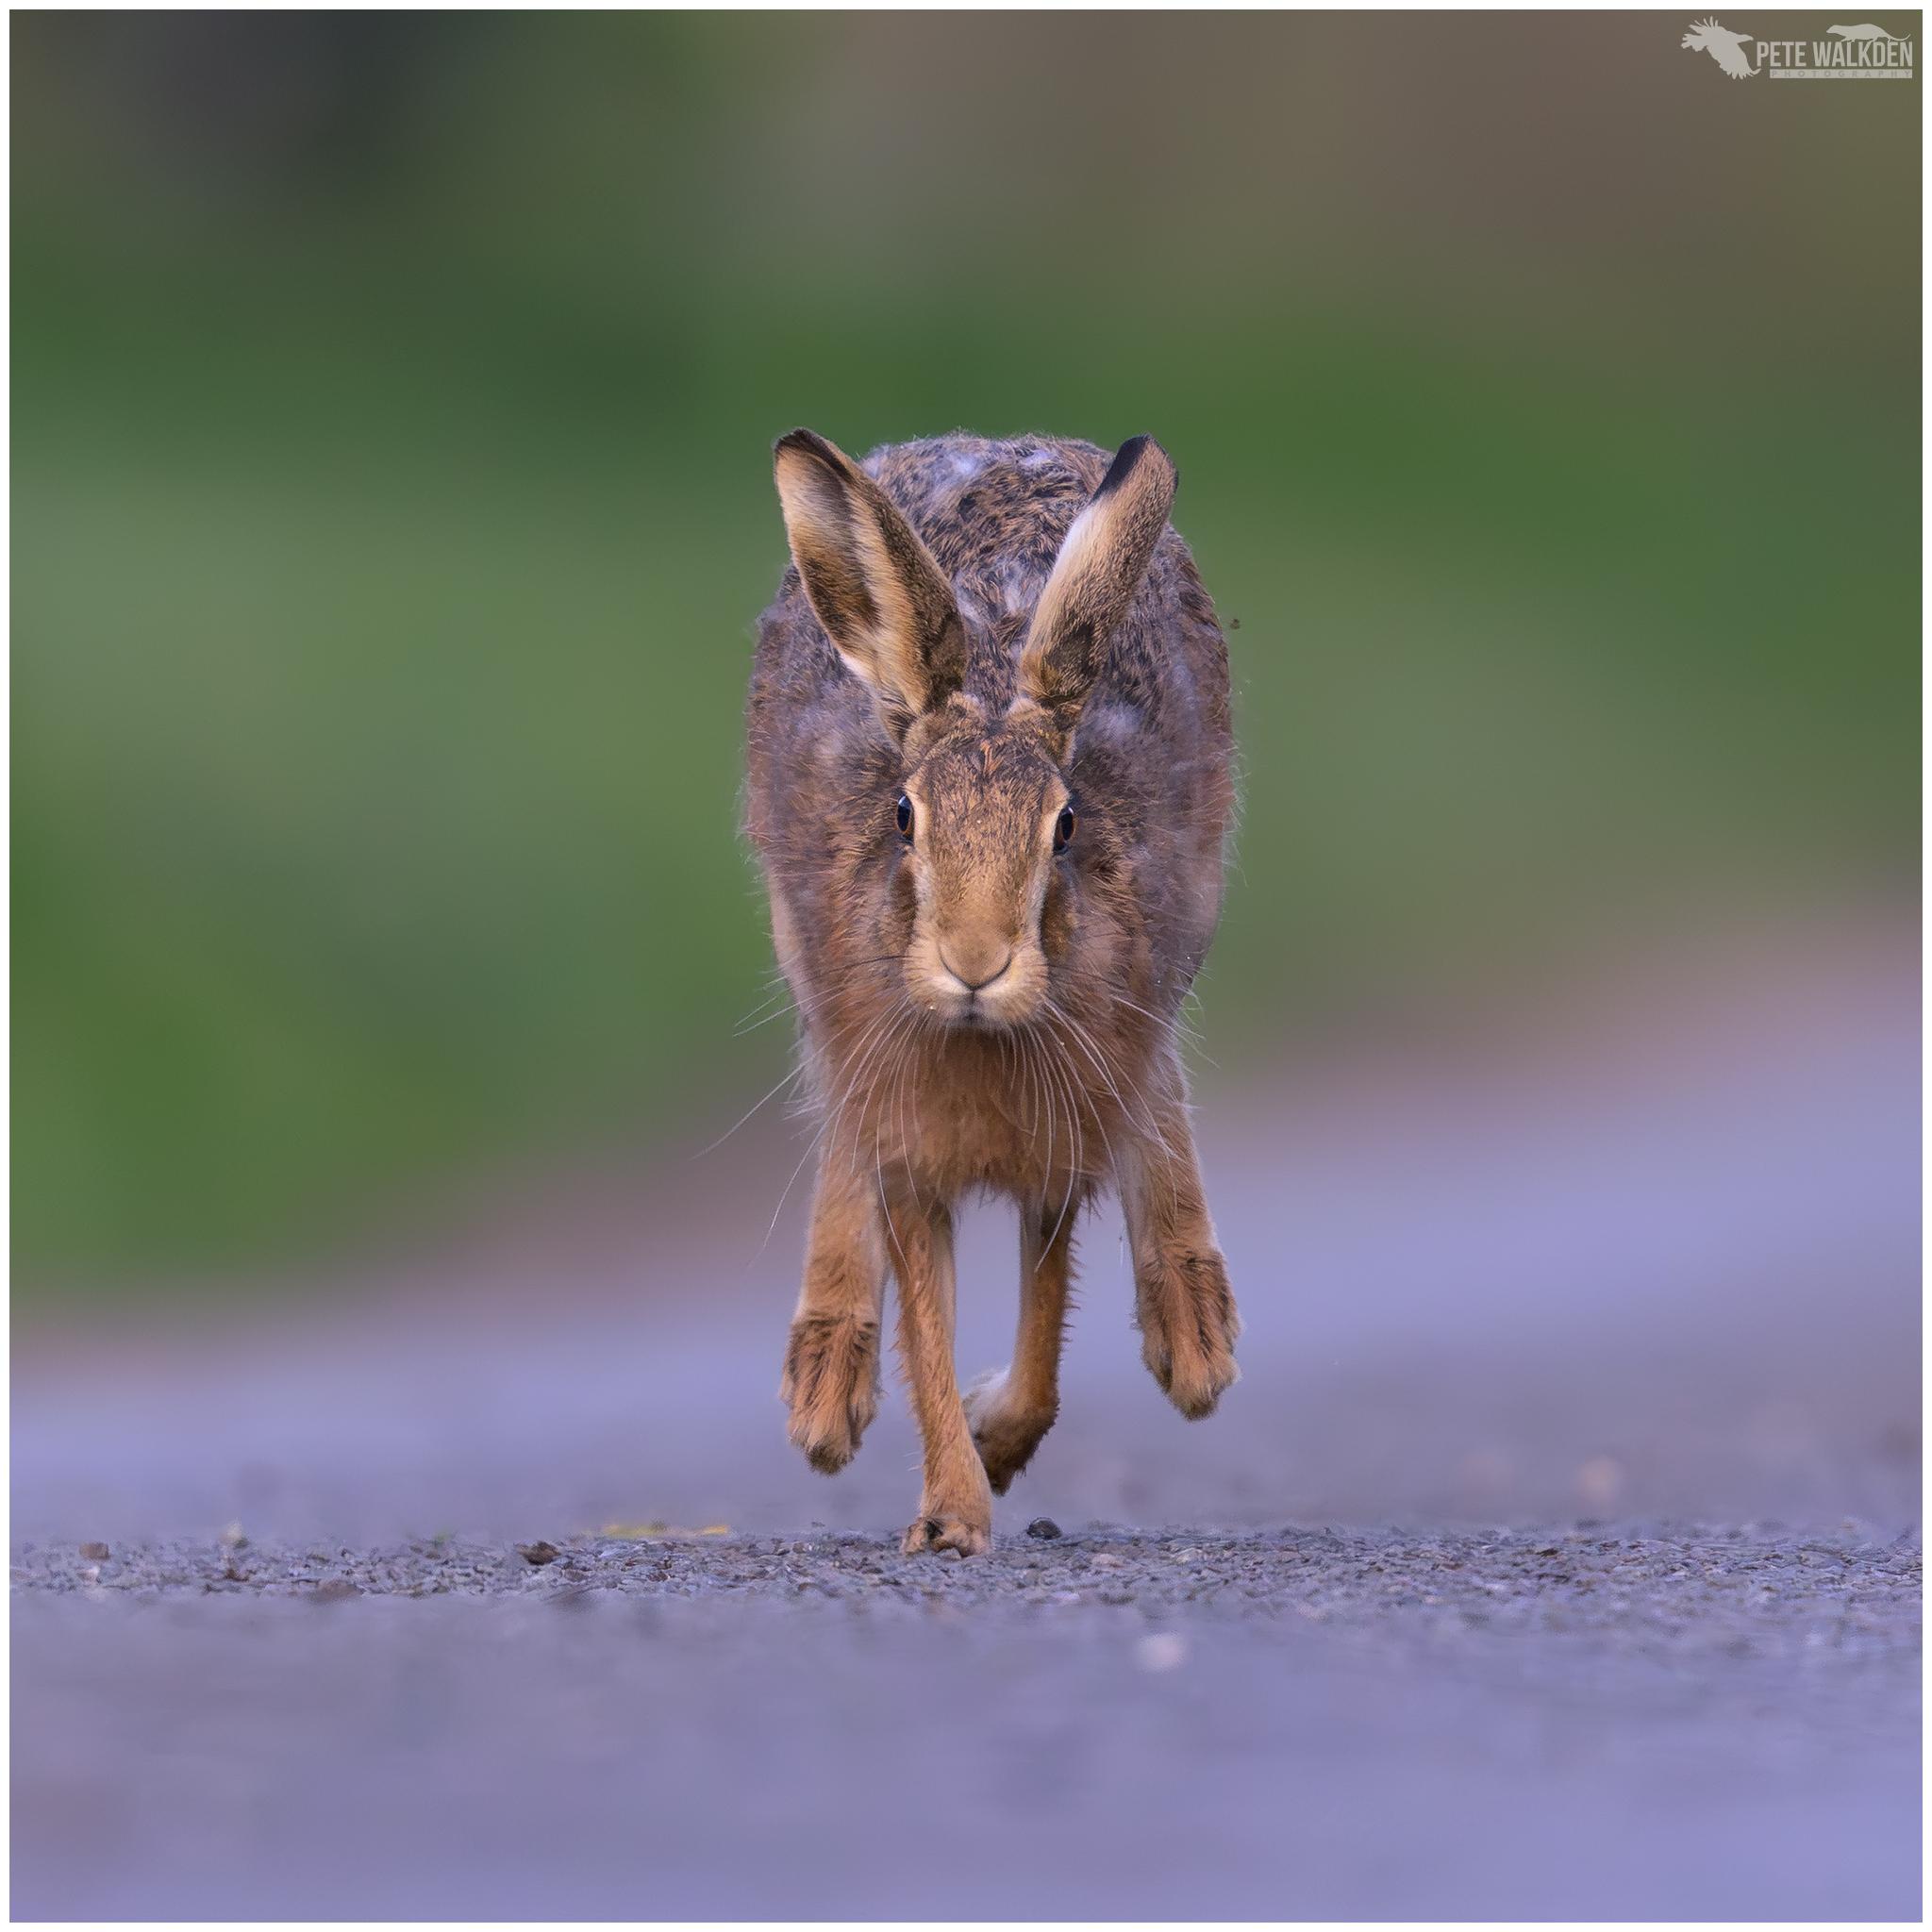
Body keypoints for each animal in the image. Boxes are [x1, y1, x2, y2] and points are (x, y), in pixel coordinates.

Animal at [745, 428, 1239, 1556]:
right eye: (901, 817)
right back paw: (823, 1390)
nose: (975, 961)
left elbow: (1045, 1323)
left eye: (1065, 826)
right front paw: (949, 1515)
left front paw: (994, 1438)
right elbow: (925, 1319)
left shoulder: (1061, 1142)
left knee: (1160, 1095)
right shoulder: (904, 1152)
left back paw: (1193, 1332)